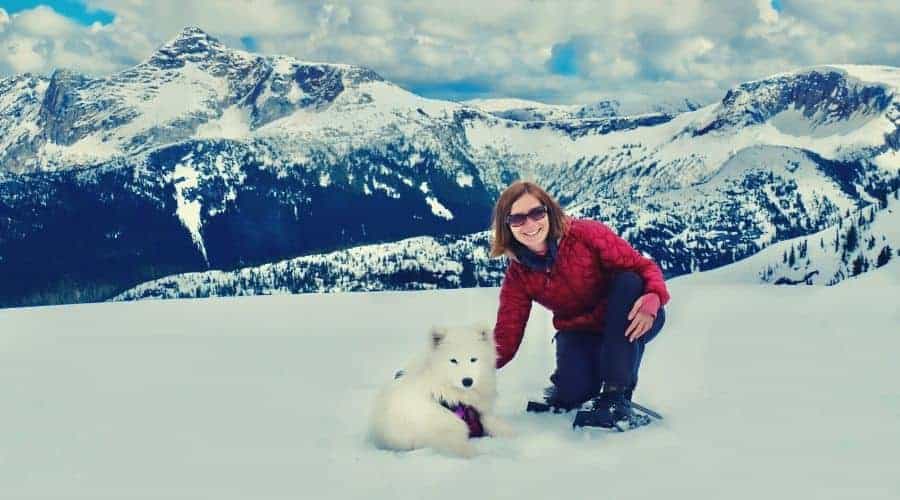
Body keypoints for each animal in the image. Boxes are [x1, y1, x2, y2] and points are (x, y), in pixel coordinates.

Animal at [370, 324, 512, 458]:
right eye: (453, 360)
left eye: (473, 359)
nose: (467, 381)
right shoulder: (444, 433)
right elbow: (461, 448)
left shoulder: (481, 416)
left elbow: (498, 426)